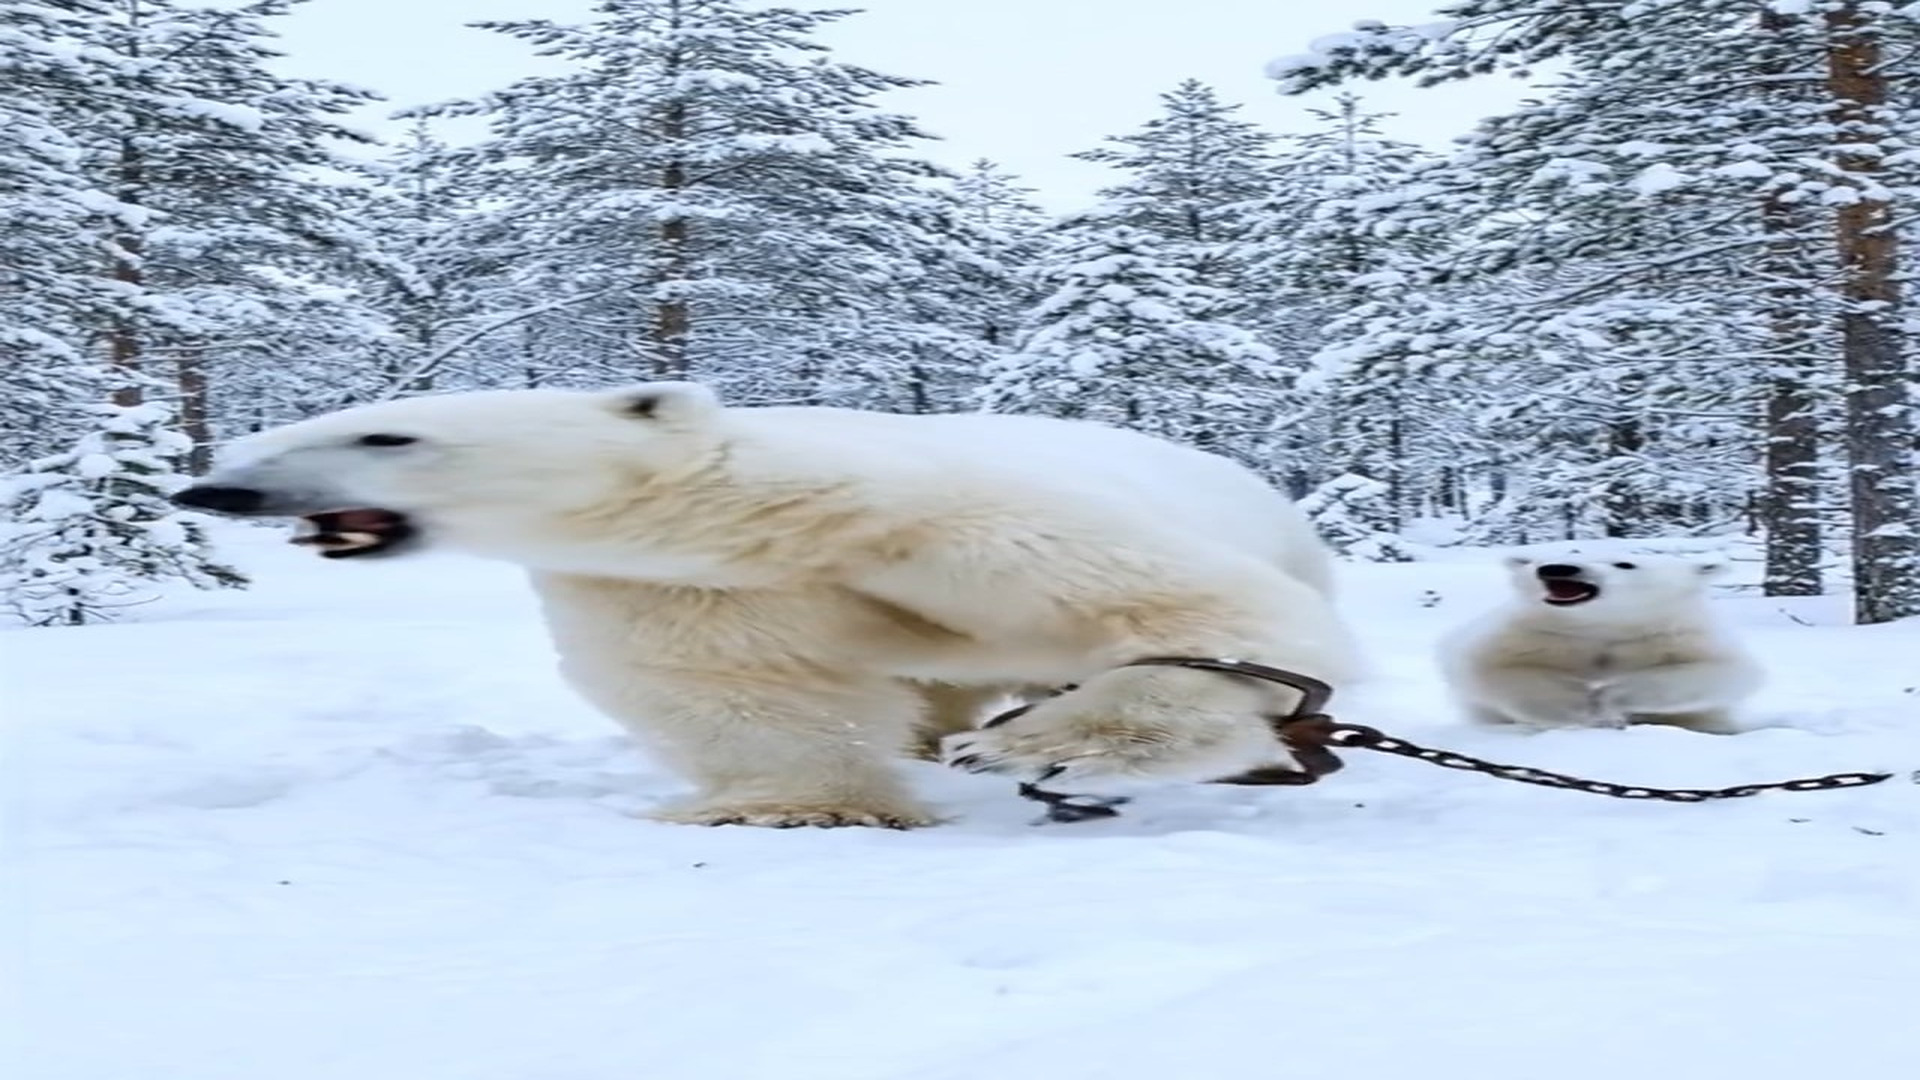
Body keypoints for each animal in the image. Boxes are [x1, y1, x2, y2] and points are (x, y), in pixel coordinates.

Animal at [173, 382, 1356, 828]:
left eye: (387, 435)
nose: (215, 490)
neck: (782, 519)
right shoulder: (682, 586)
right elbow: (738, 689)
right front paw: (797, 805)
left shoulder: (953, 519)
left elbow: (1206, 618)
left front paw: (1045, 746)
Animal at [1438, 552, 1763, 734]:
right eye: (1540, 560)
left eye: (1625, 564)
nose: (1557, 568)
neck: (1602, 626)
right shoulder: (1532, 635)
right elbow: (1488, 669)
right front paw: (1580, 707)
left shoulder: (1674, 635)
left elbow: (1722, 673)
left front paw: (1608, 702)